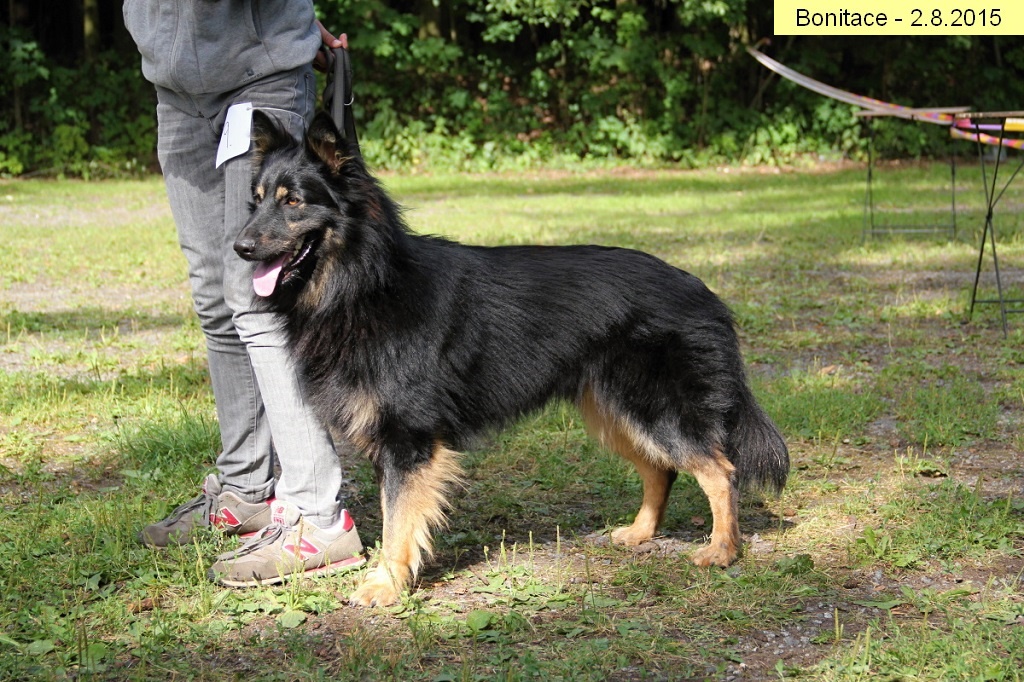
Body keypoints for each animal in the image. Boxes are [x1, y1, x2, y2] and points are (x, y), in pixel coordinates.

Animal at [233, 110, 789, 607]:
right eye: (255, 202)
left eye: (293, 202)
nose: (239, 247)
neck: (365, 283)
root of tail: (703, 290)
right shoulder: (388, 444)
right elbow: (396, 517)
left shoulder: (408, 442)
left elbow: (398, 521)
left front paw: (386, 584)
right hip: (614, 413)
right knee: (662, 470)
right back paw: (640, 533)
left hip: (657, 410)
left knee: (719, 469)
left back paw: (722, 550)